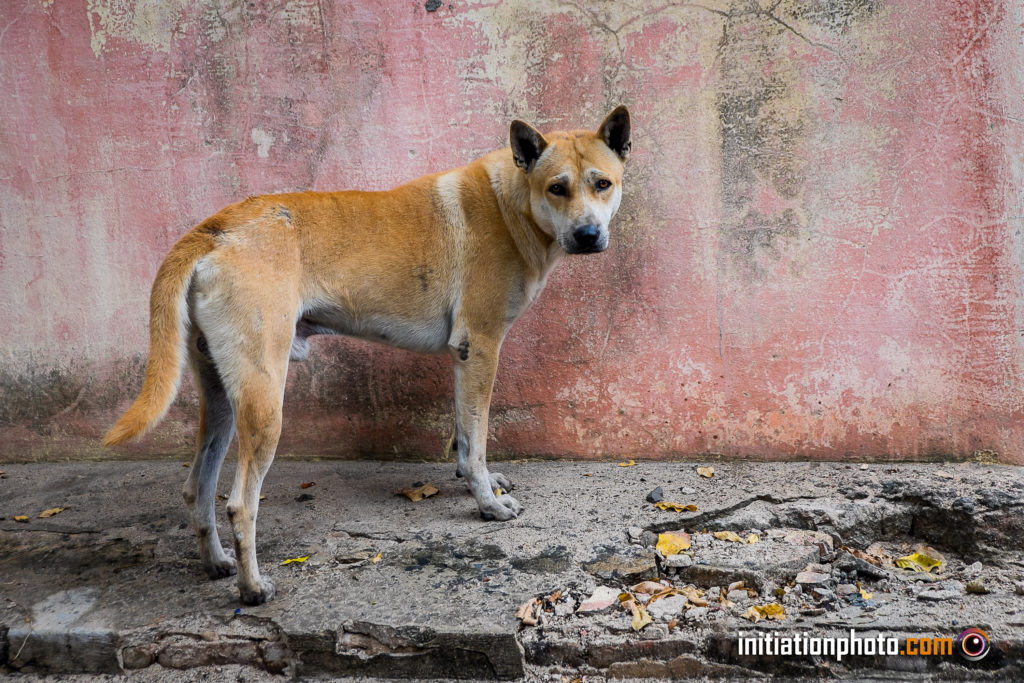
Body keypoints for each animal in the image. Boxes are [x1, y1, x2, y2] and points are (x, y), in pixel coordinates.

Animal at [105, 107, 630, 602]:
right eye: (557, 188)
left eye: (602, 183)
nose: (588, 235)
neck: (513, 203)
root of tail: (215, 228)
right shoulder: (479, 347)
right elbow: (477, 437)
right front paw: (487, 503)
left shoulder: (462, 358)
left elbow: (464, 437)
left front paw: (473, 479)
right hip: (263, 397)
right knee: (239, 503)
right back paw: (253, 589)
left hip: (218, 394)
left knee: (197, 486)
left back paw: (216, 563)